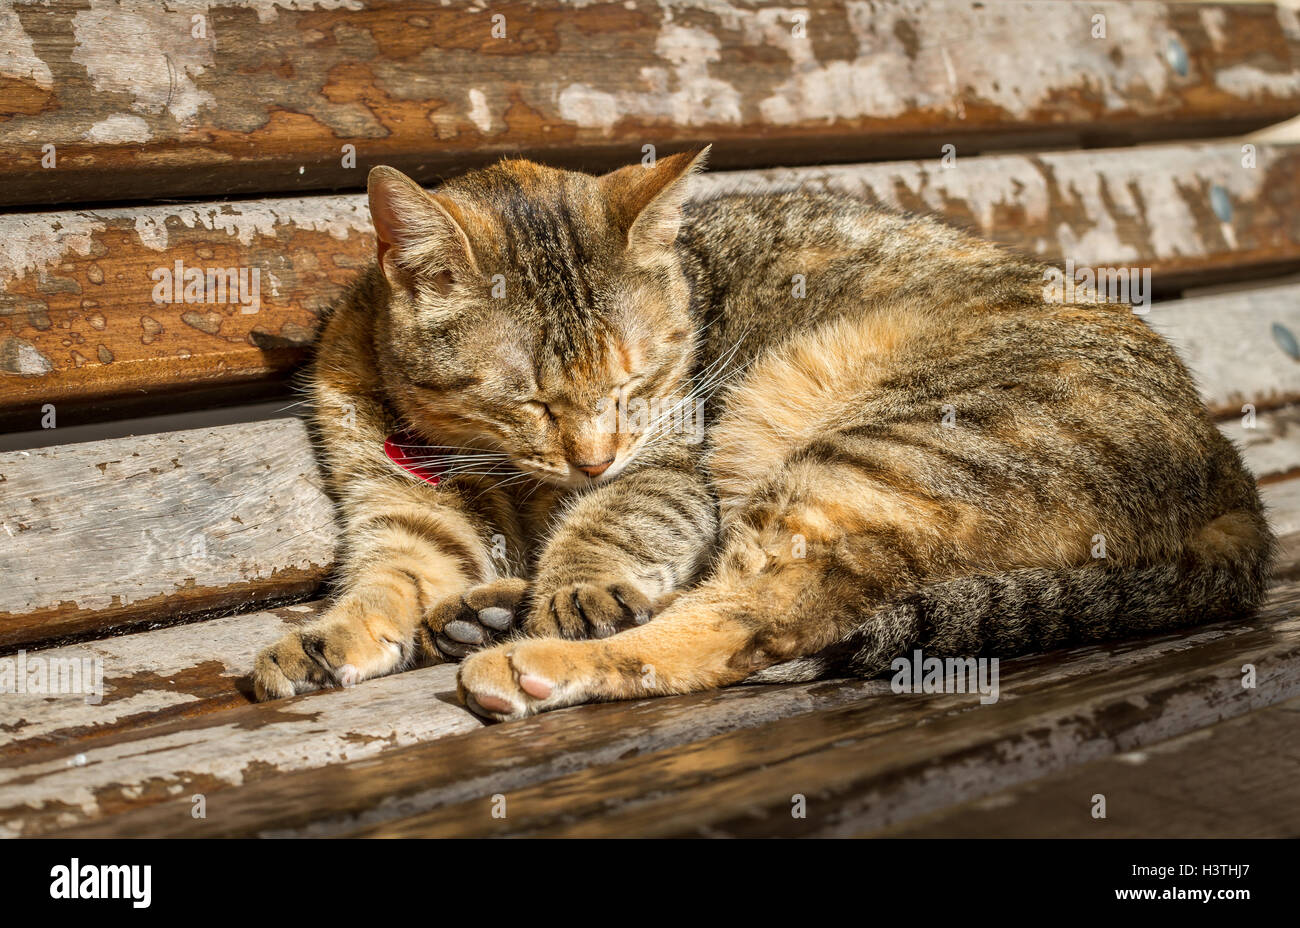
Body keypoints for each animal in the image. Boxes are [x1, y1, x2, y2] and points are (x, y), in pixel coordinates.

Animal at [250, 148, 1268, 717]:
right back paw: (489, 614)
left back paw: (537, 657)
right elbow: (381, 584)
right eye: (529, 399)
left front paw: (575, 580)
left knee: (747, 622)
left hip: (866, 453)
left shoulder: (670, 462)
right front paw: (322, 640)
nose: (593, 455)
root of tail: (1233, 482)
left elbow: (613, 524)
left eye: (637, 381)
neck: (508, 476)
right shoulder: (402, 517)